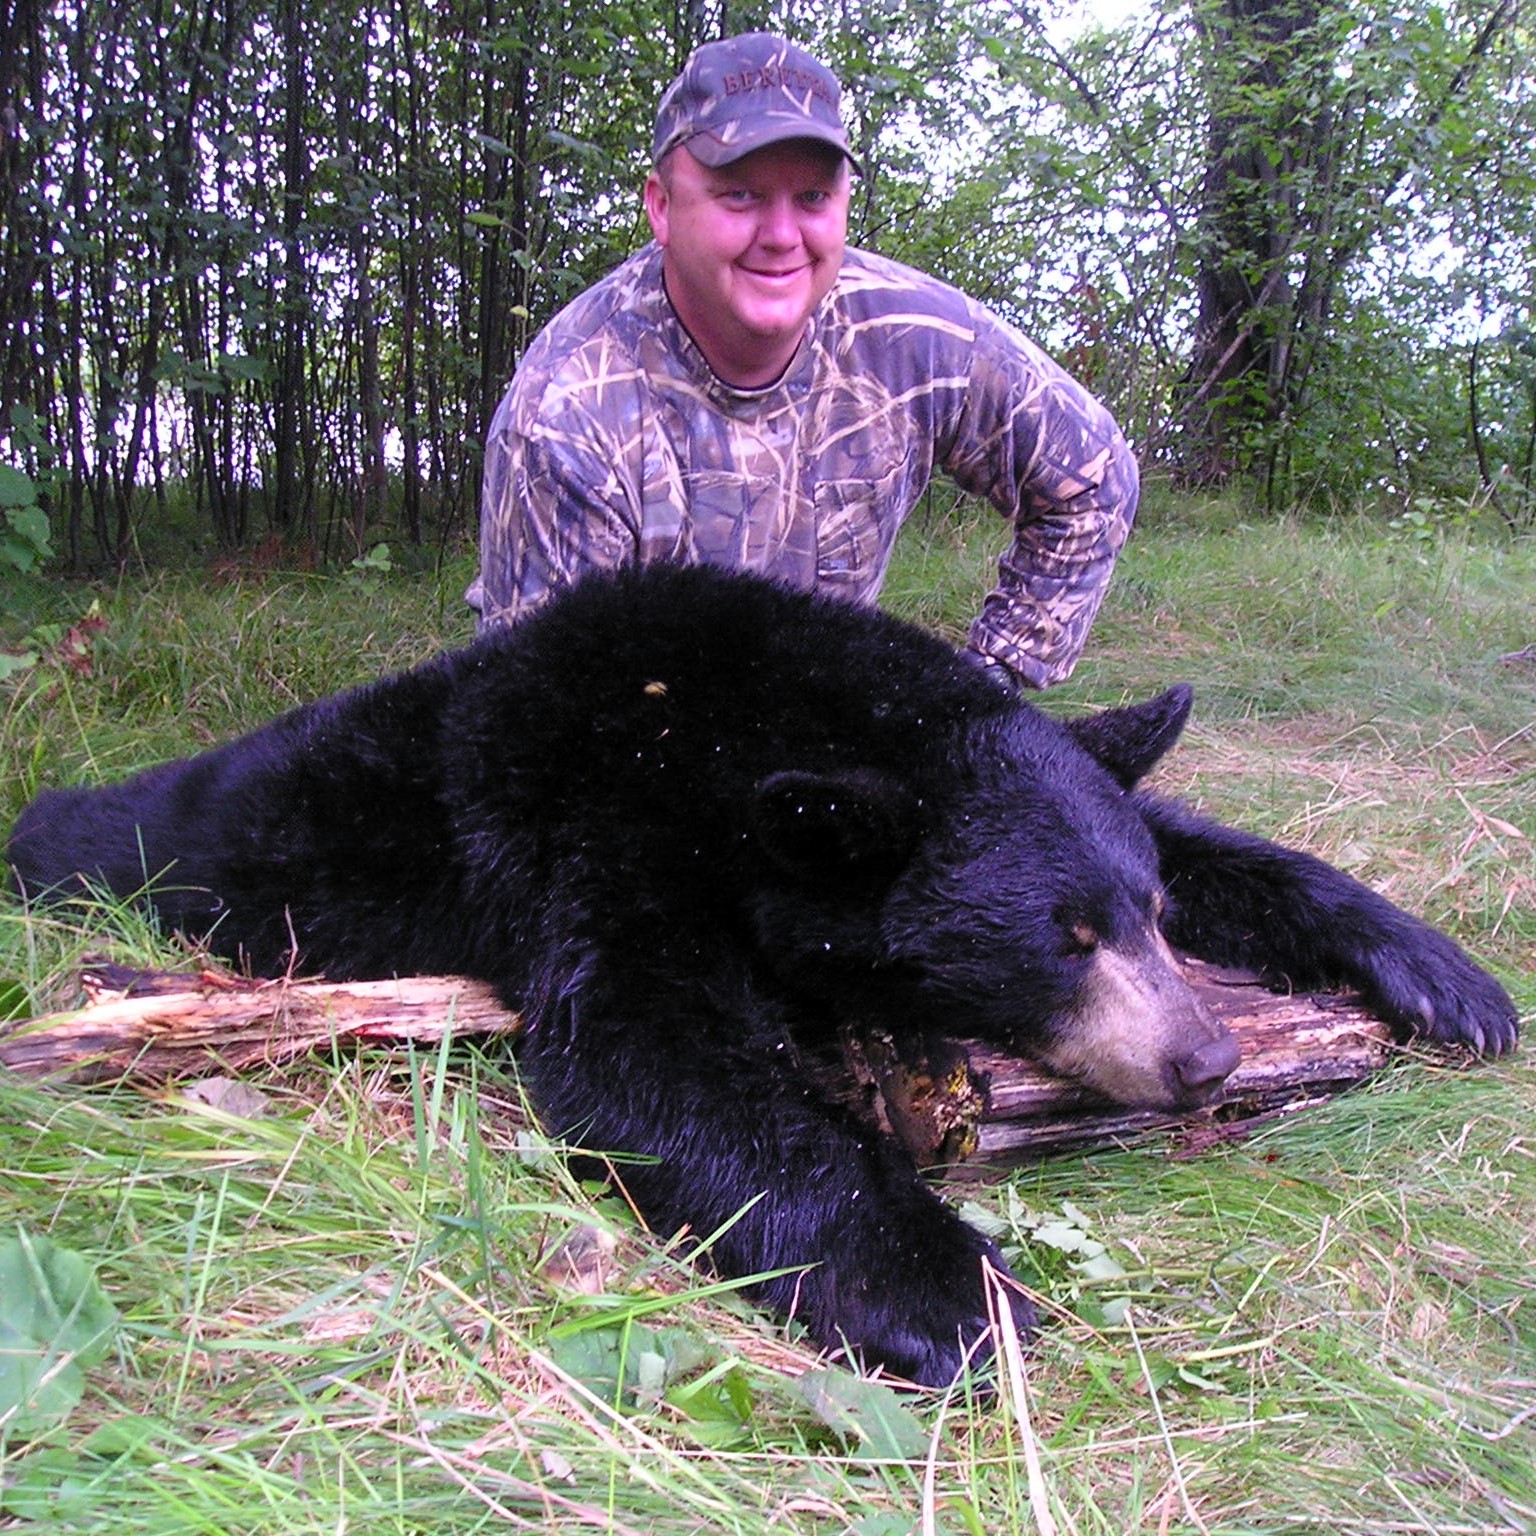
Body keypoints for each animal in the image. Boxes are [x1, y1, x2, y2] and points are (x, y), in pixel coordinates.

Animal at [7, 563, 1519, 1386]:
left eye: (1141, 915)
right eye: (1061, 941)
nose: (1203, 1057)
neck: (723, 729)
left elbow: (1217, 841)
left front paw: (1448, 977)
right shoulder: (596, 829)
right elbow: (646, 1052)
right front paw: (960, 1295)